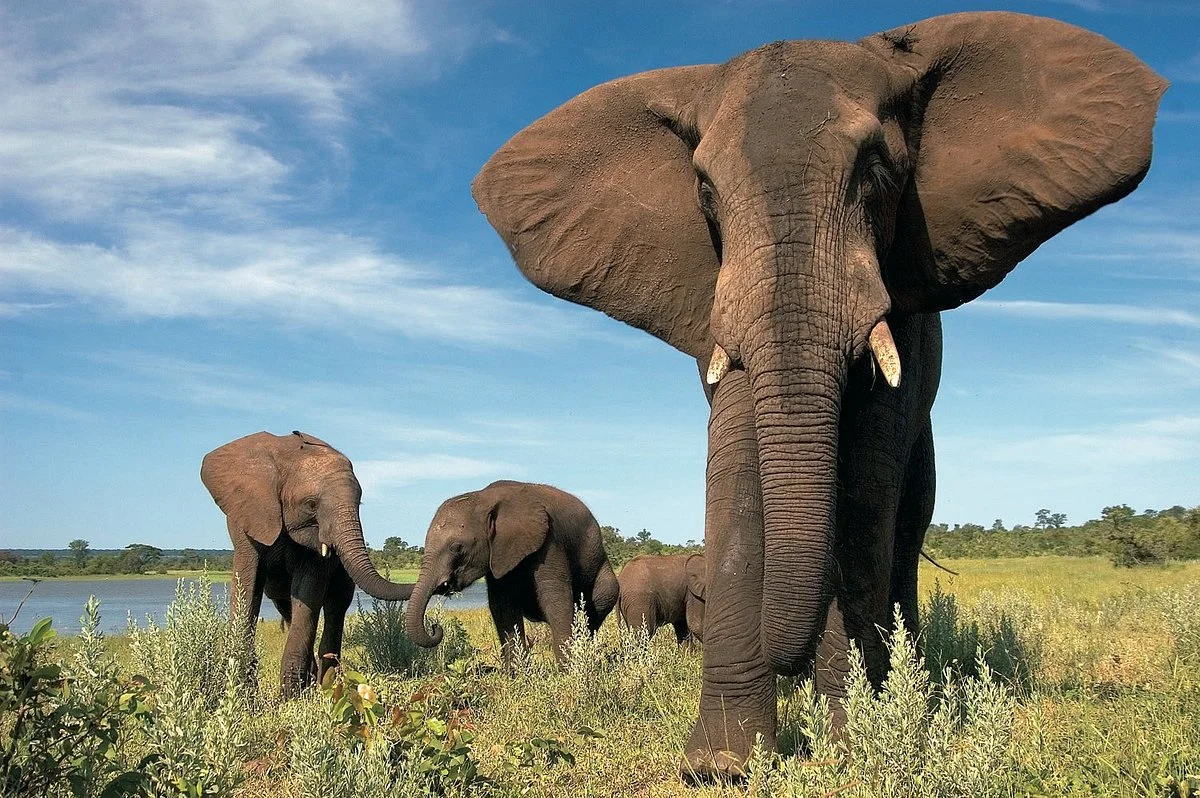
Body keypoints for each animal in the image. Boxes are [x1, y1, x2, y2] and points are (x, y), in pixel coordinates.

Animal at [200, 431, 415, 696]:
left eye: (359, 505)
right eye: (311, 504)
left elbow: (308, 590)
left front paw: (290, 698)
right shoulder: (247, 517)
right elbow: (247, 587)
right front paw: (243, 694)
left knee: (335, 607)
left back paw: (327, 686)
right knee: (288, 608)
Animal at [404, 480, 619, 666]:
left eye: (457, 547)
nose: (435, 626)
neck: (484, 497)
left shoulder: (550, 540)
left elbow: (555, 599)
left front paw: (568, 672)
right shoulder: (500, 553)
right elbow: (503, 605)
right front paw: (517, 675)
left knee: (598, 606)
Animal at [471, 11, 1164, 779]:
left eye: (878, 169)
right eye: (704, 189)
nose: (789, 660)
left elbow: (860, 491)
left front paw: (852, 744)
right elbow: (737, 470)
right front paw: (722, 765)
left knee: (902, 529)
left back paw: (907, 682)